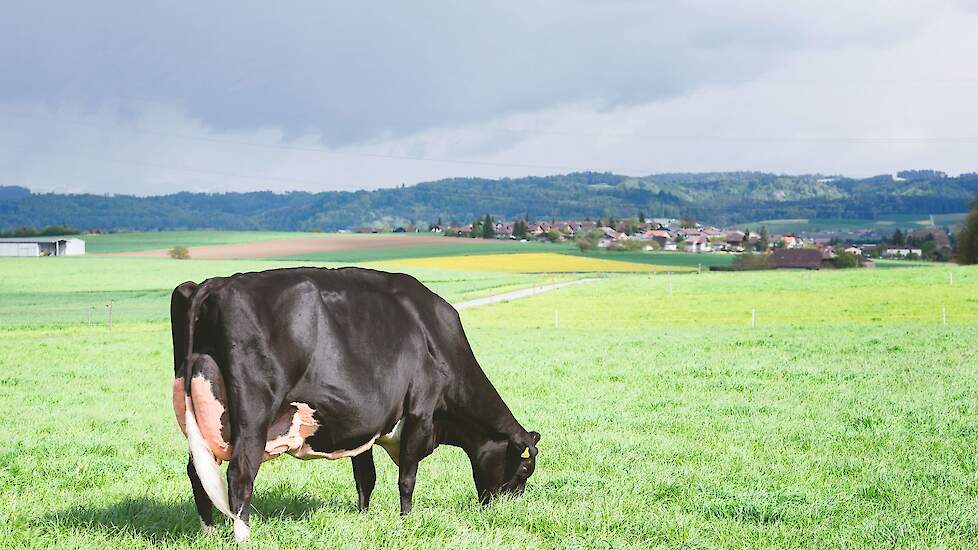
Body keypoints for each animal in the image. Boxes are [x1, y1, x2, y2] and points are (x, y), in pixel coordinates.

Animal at [170, 268, 540, 548]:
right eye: (523, 470)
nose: (507, 510)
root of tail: (216, 283)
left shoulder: (363, 425)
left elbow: (366, 477)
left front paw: (364, 517)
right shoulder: (420, 412)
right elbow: (407, 478)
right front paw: (406, 520)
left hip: (202, 420)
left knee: (198, 473)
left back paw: (209, 532)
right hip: (253, 419)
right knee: (239, 476)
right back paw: (244, 538)